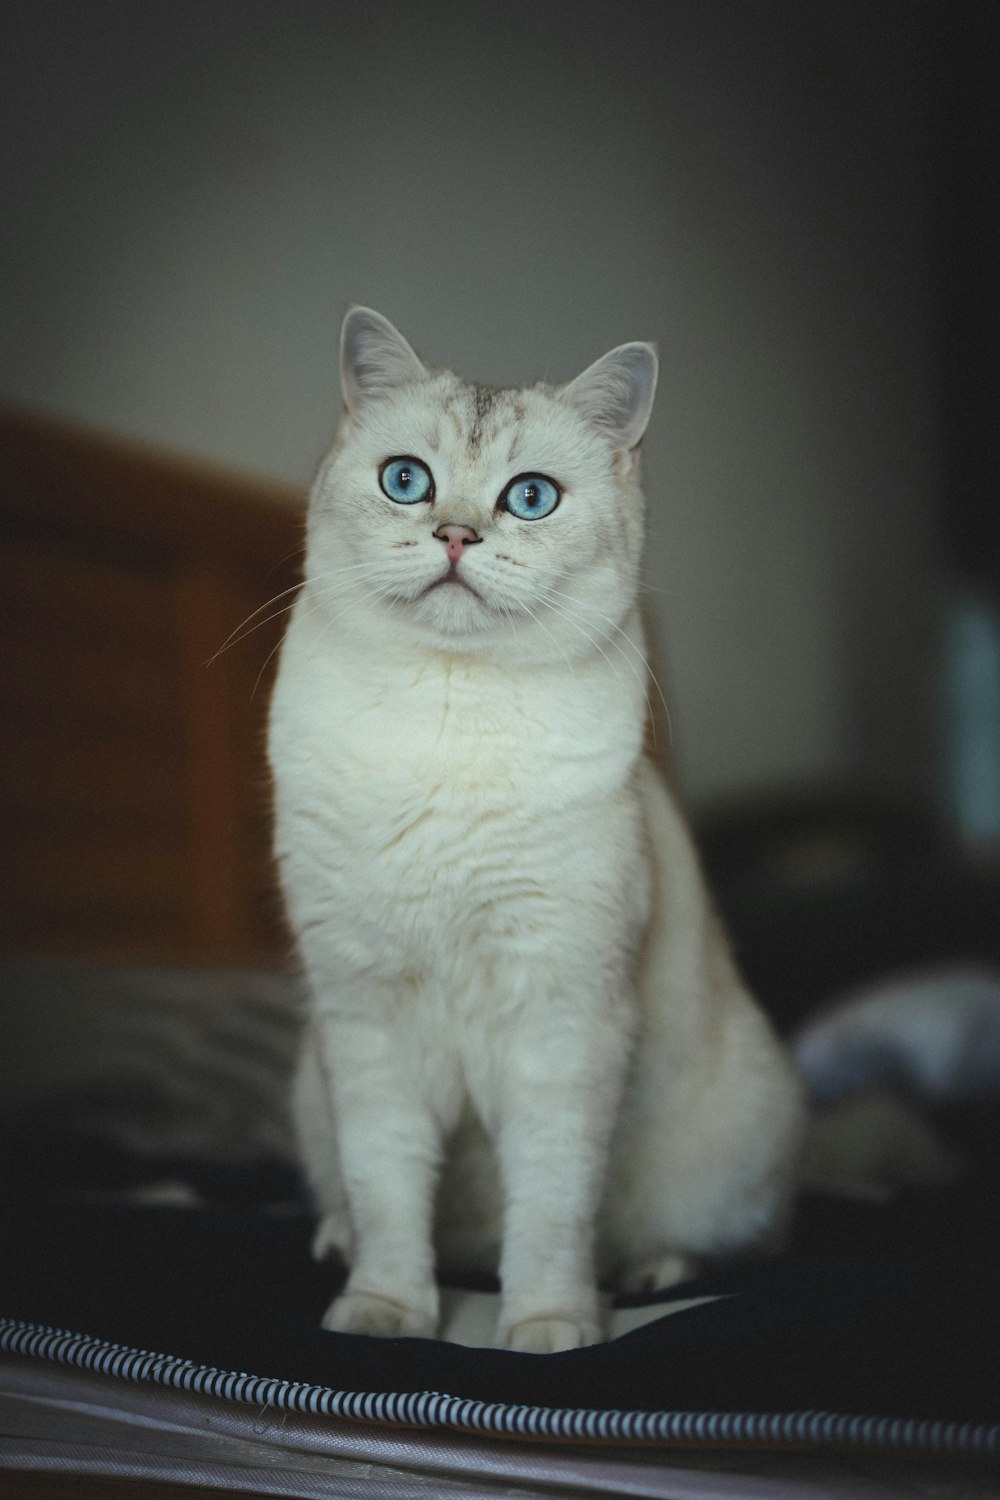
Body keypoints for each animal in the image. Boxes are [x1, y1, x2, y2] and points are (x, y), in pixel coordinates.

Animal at [265, 310, 803, 1356]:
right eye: (407, 480)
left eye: (530, 498)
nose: (456, 534)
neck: (447, 716)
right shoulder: (368, 1024)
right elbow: (388, 1195)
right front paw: (385, 1314)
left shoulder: (565, 1020)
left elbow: (552, 1210)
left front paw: (550, 1324)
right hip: (312, 1083)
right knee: (354, 1201)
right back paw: (336, 1244)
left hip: (741, 1132)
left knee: (702, 1235)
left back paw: (643, 1274)